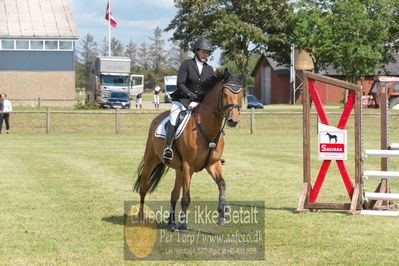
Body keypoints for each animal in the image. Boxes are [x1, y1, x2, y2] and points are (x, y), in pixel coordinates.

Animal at [134, 70, 245, 231]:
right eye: (224, 94)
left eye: (241, 94)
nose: (233, 121)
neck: (207, 129)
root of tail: (157, 117)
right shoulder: (188, 166)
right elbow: (186, 197)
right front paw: (183, 224)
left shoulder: (213, 164)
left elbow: (222, 185)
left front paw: (222, 216)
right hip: (151, 159)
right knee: (144, 188)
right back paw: (142, 217)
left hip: (179, 170)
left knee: (174, 194)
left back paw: (171, 222)